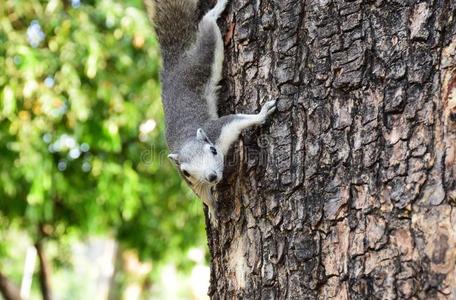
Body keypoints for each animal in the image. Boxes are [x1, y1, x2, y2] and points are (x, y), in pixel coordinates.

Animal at [144, 0, 276, 223]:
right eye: (186, 172)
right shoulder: (188, 179)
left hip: (199, 63)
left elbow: (236, 120)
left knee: (207, 30)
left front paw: (261, 114)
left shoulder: (218, 130)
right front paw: (213, 209)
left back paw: (215, 11)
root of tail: (174, 66)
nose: (212, 177)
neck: (187, 140)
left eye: (213, 150)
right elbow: (201, 193)